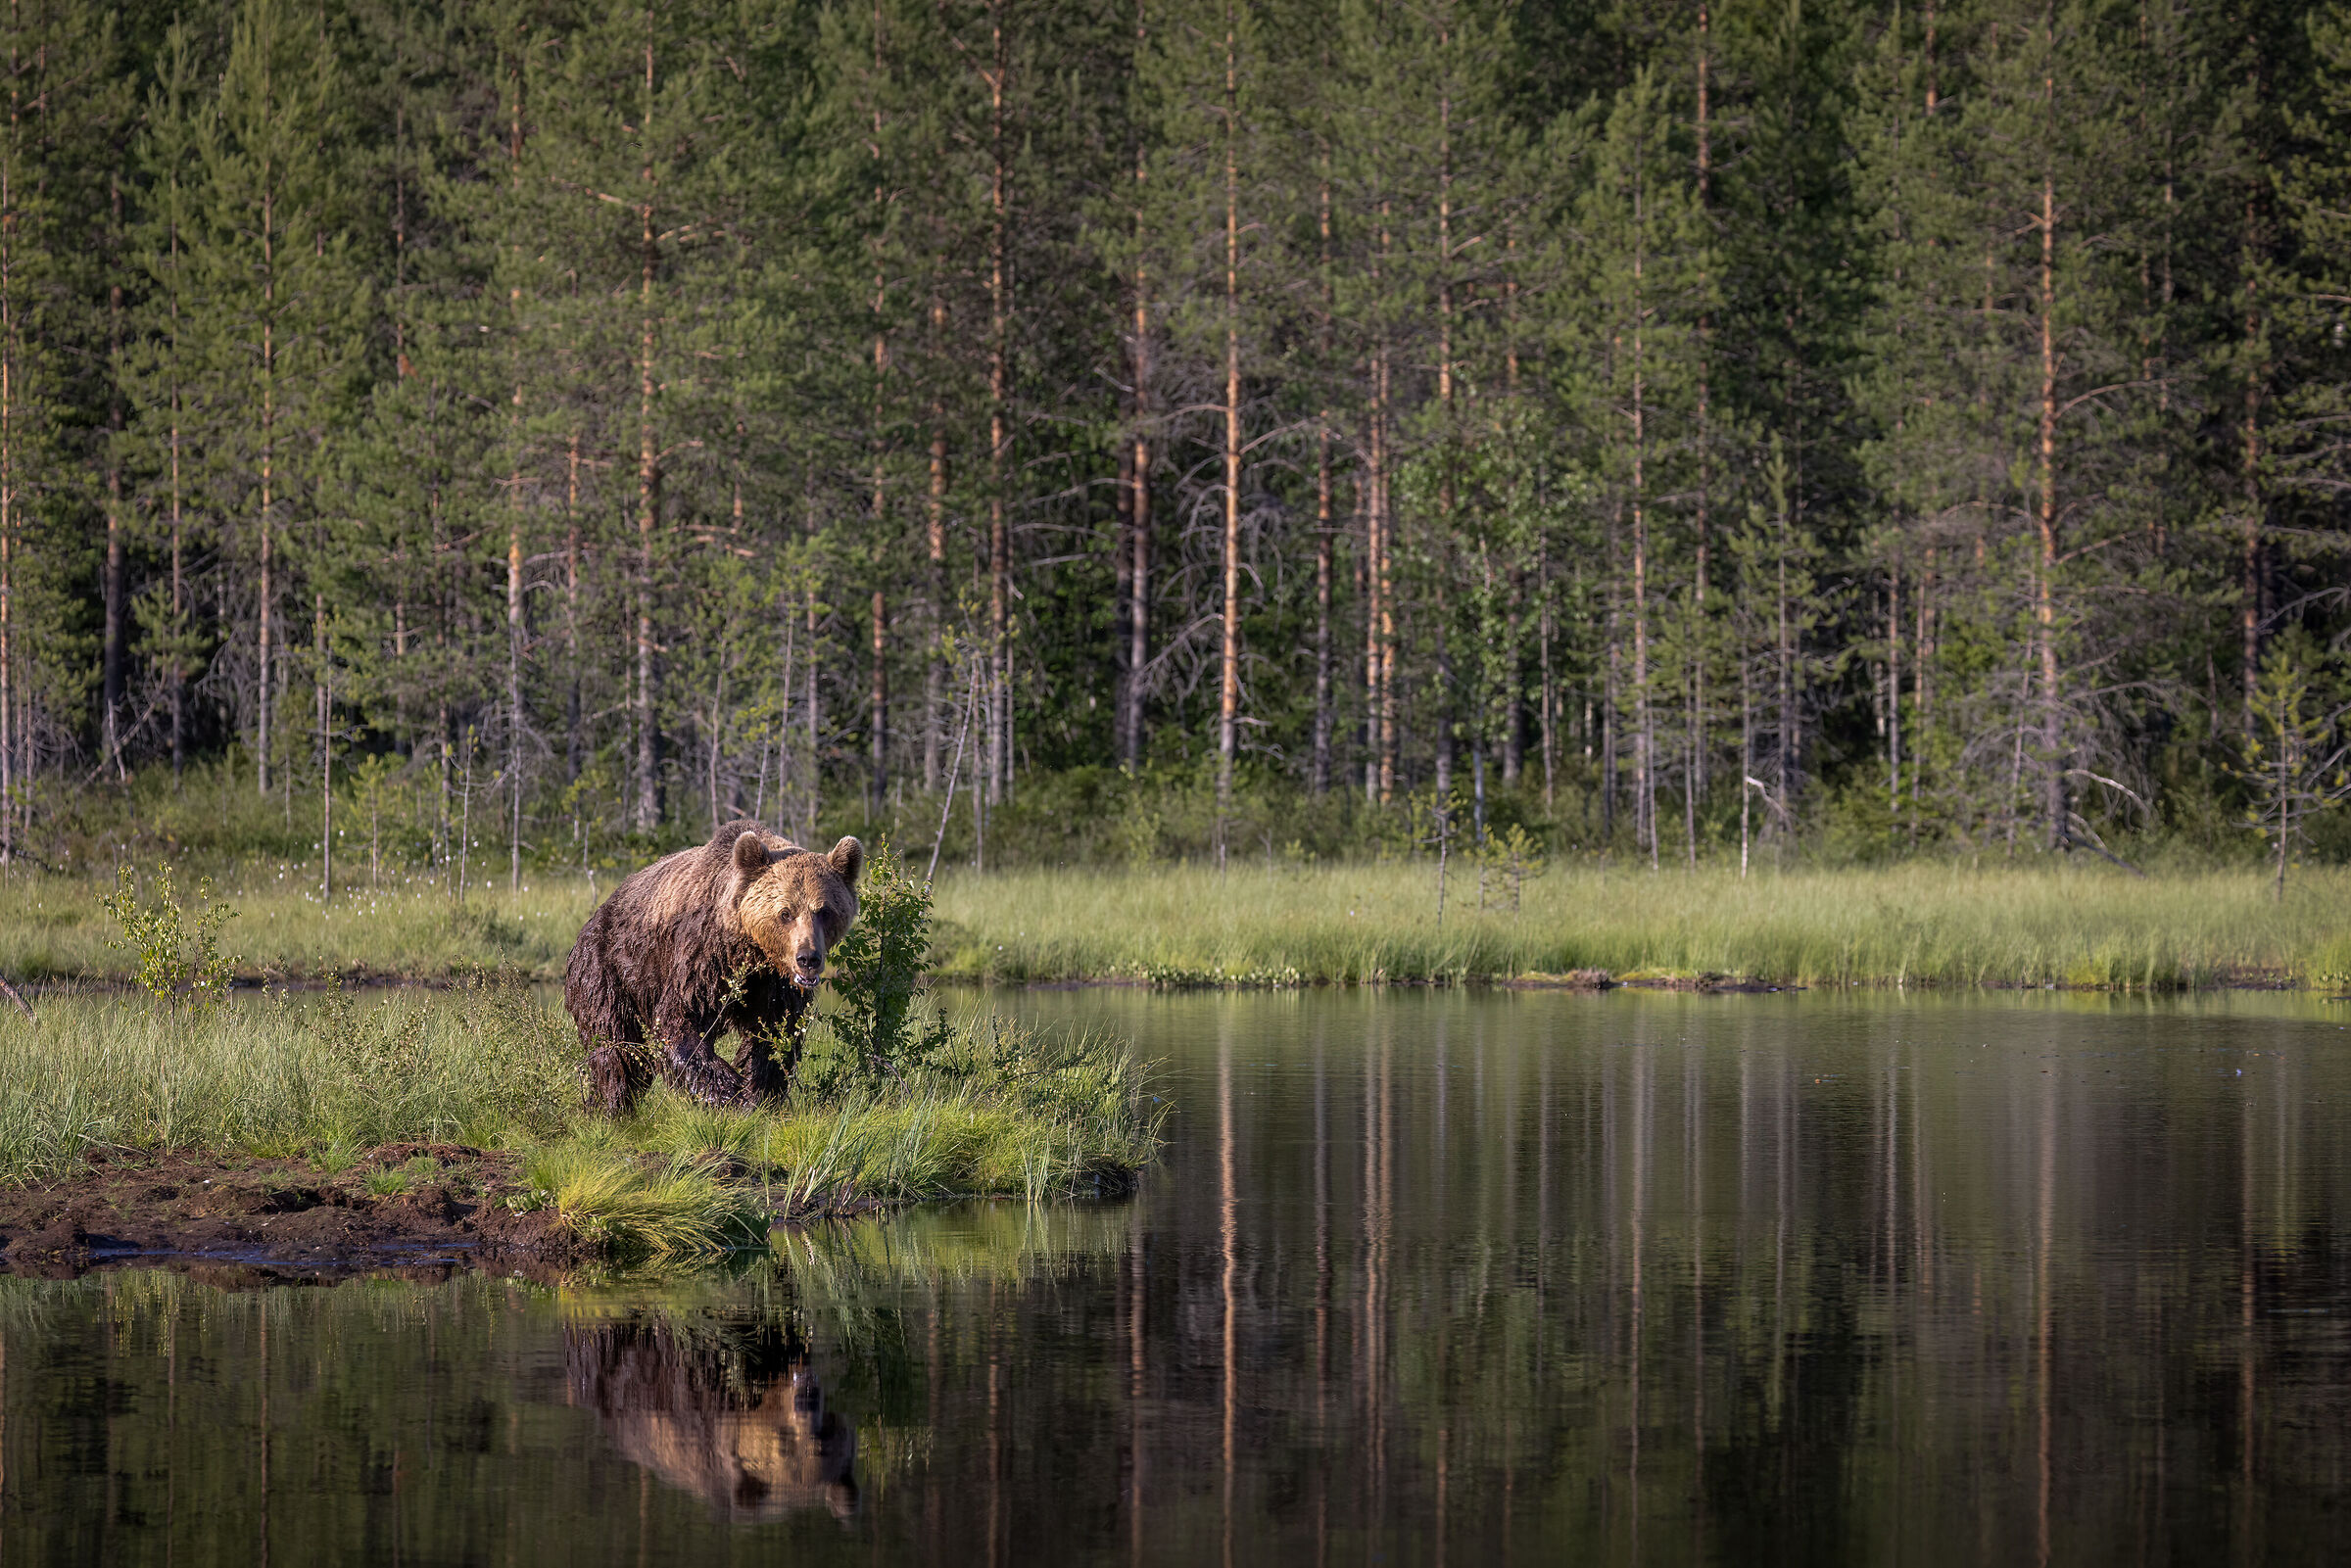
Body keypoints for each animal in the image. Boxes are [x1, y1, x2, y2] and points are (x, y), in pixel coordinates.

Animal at [564, 820, 864, 1113]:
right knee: (616, 1048)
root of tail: (591, 920)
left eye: (824, 911)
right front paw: (730, 1093)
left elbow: (774, 1034)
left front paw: (758, 1094)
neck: (747, 949)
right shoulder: (701, 957)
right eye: (785, 913)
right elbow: (678, 1020)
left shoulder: (775, 983)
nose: (808, 958)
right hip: (609, 969)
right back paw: (611, 1104)